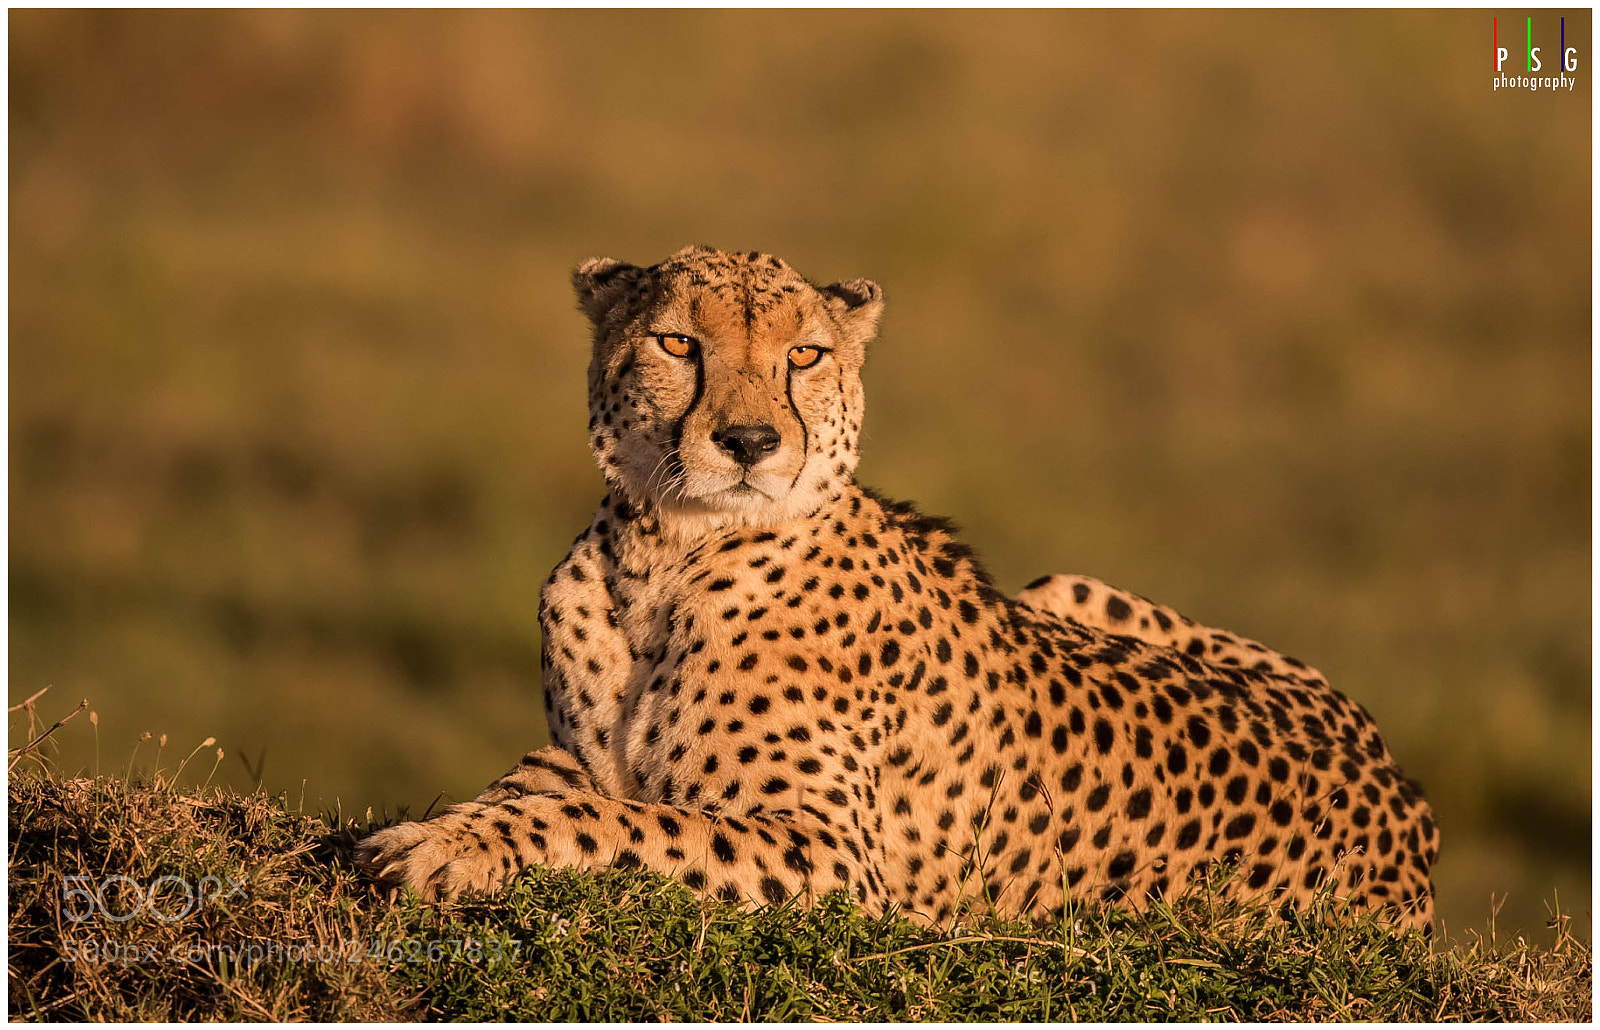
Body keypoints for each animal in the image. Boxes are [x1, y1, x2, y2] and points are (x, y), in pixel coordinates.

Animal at [356, 244, 1439, 934]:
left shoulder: (833, 854)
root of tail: (1403, 795)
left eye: (803, 354)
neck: (665, 554)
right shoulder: (573, 754)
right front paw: (442, 832)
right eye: (677, 345)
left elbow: (622, 822)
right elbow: (528, 792)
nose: (748, 441)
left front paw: (446, 850)